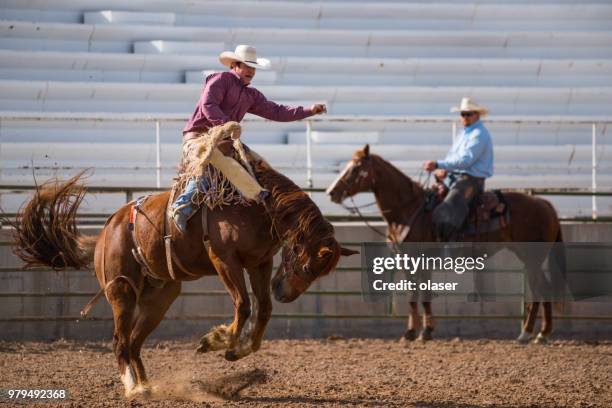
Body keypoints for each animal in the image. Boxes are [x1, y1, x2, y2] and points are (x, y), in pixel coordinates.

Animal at [11, 159, 356, 398]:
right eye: (308, 266)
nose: (285, 293)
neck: (255, 205)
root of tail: (105, 233)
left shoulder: (260, 263)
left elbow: (264, 310)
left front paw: (237, 351)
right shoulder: (224, 260)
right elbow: (244, 305)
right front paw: (216, 341)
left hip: (160, 297)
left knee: (134, 343)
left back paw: (147, 385)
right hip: (121, 291)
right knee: (120, 342)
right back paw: (134, 389)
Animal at [330, 145, 564, 342]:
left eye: (356, 168)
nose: (332, 192)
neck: (409, 211)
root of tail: (545, 203)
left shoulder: (417, 258)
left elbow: (419, 294)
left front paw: (419, 332)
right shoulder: (408, 260)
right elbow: (417, 295)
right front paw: (420, 330)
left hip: (532, 258)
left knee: (539, 290)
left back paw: (529, 334)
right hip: (530, 258)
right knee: (542, 289)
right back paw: (539, 333)